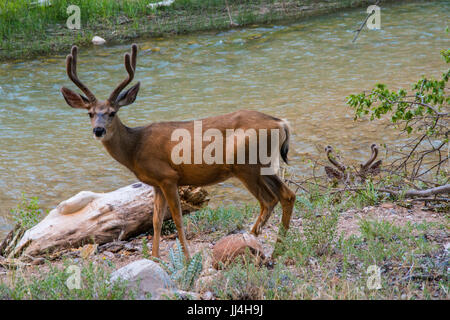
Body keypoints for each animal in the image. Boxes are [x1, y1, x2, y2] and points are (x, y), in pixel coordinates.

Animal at [60, 44, 298, 260]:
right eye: (90, 113)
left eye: (112, 112)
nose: (98, 130)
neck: (135, 147)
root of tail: (281, 122)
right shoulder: (156, 184)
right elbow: (156, 221)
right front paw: (155, 257)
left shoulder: (168, 177)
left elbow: (177, 219)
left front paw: (187, 258)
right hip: (262, 165)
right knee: (288, 195)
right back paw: (277, 250)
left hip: (245, 164)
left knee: (268, 200)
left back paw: (252, 241)